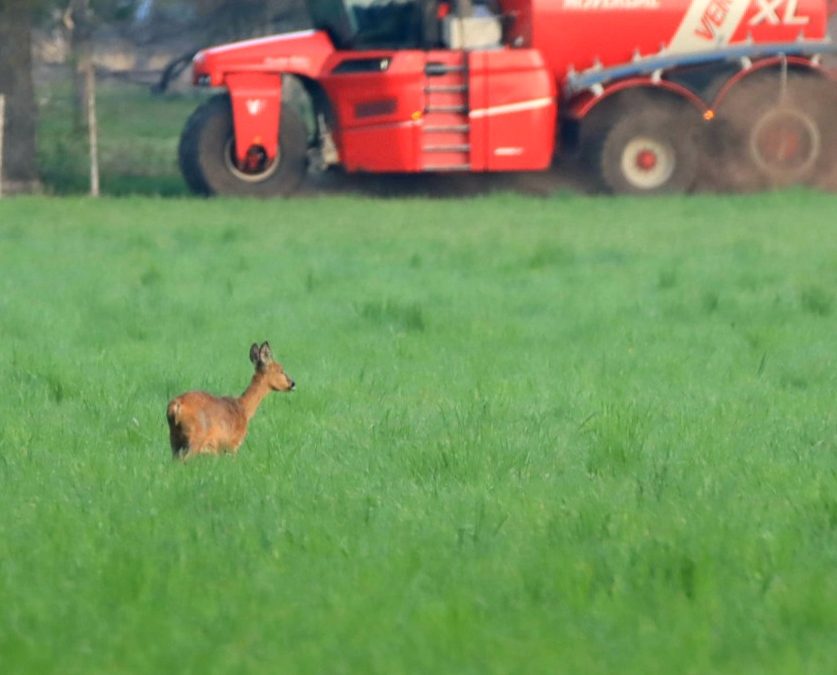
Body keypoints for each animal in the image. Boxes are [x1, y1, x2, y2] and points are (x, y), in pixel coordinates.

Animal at [164, 344, 294, 460]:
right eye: (281, 370)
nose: (293, 383)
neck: (244, 409)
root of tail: (176, 405)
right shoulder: (233, 444)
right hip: (194, 438)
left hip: (174, 440)